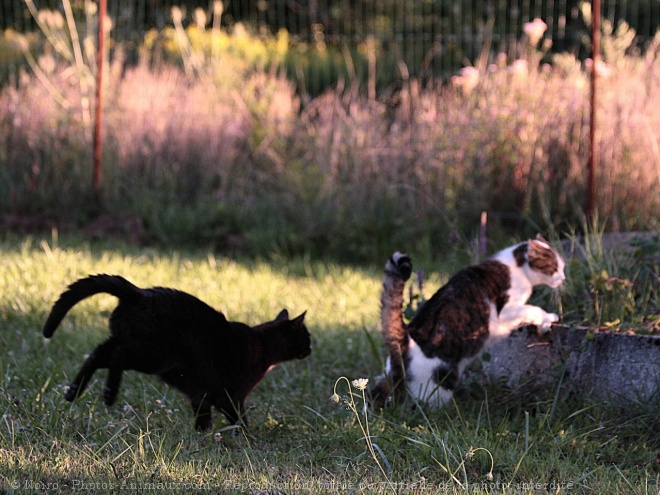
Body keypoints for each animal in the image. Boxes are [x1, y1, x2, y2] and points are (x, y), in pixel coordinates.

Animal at [43, 276, 312, 430]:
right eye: (307, 337)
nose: (311, 348)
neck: (264, 345)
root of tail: (139, 292)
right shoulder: (231, 397)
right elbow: (239, 421)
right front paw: (248, 439)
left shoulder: (201, 395)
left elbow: (203, 420)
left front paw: (203, 437)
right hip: (155, 356)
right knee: (117, 356)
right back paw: (109, 395)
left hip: (126, 341)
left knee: (96, 355)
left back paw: (73, 392)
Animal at [372, 236, 568, 410]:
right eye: (555, 267)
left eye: (563, 267)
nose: (563, 278)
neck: (516, 267)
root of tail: (406, 340)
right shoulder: (506, 311)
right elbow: (533, 309)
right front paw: (547, 320)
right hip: (437, 385)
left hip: (389, 376)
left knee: (377, 392)